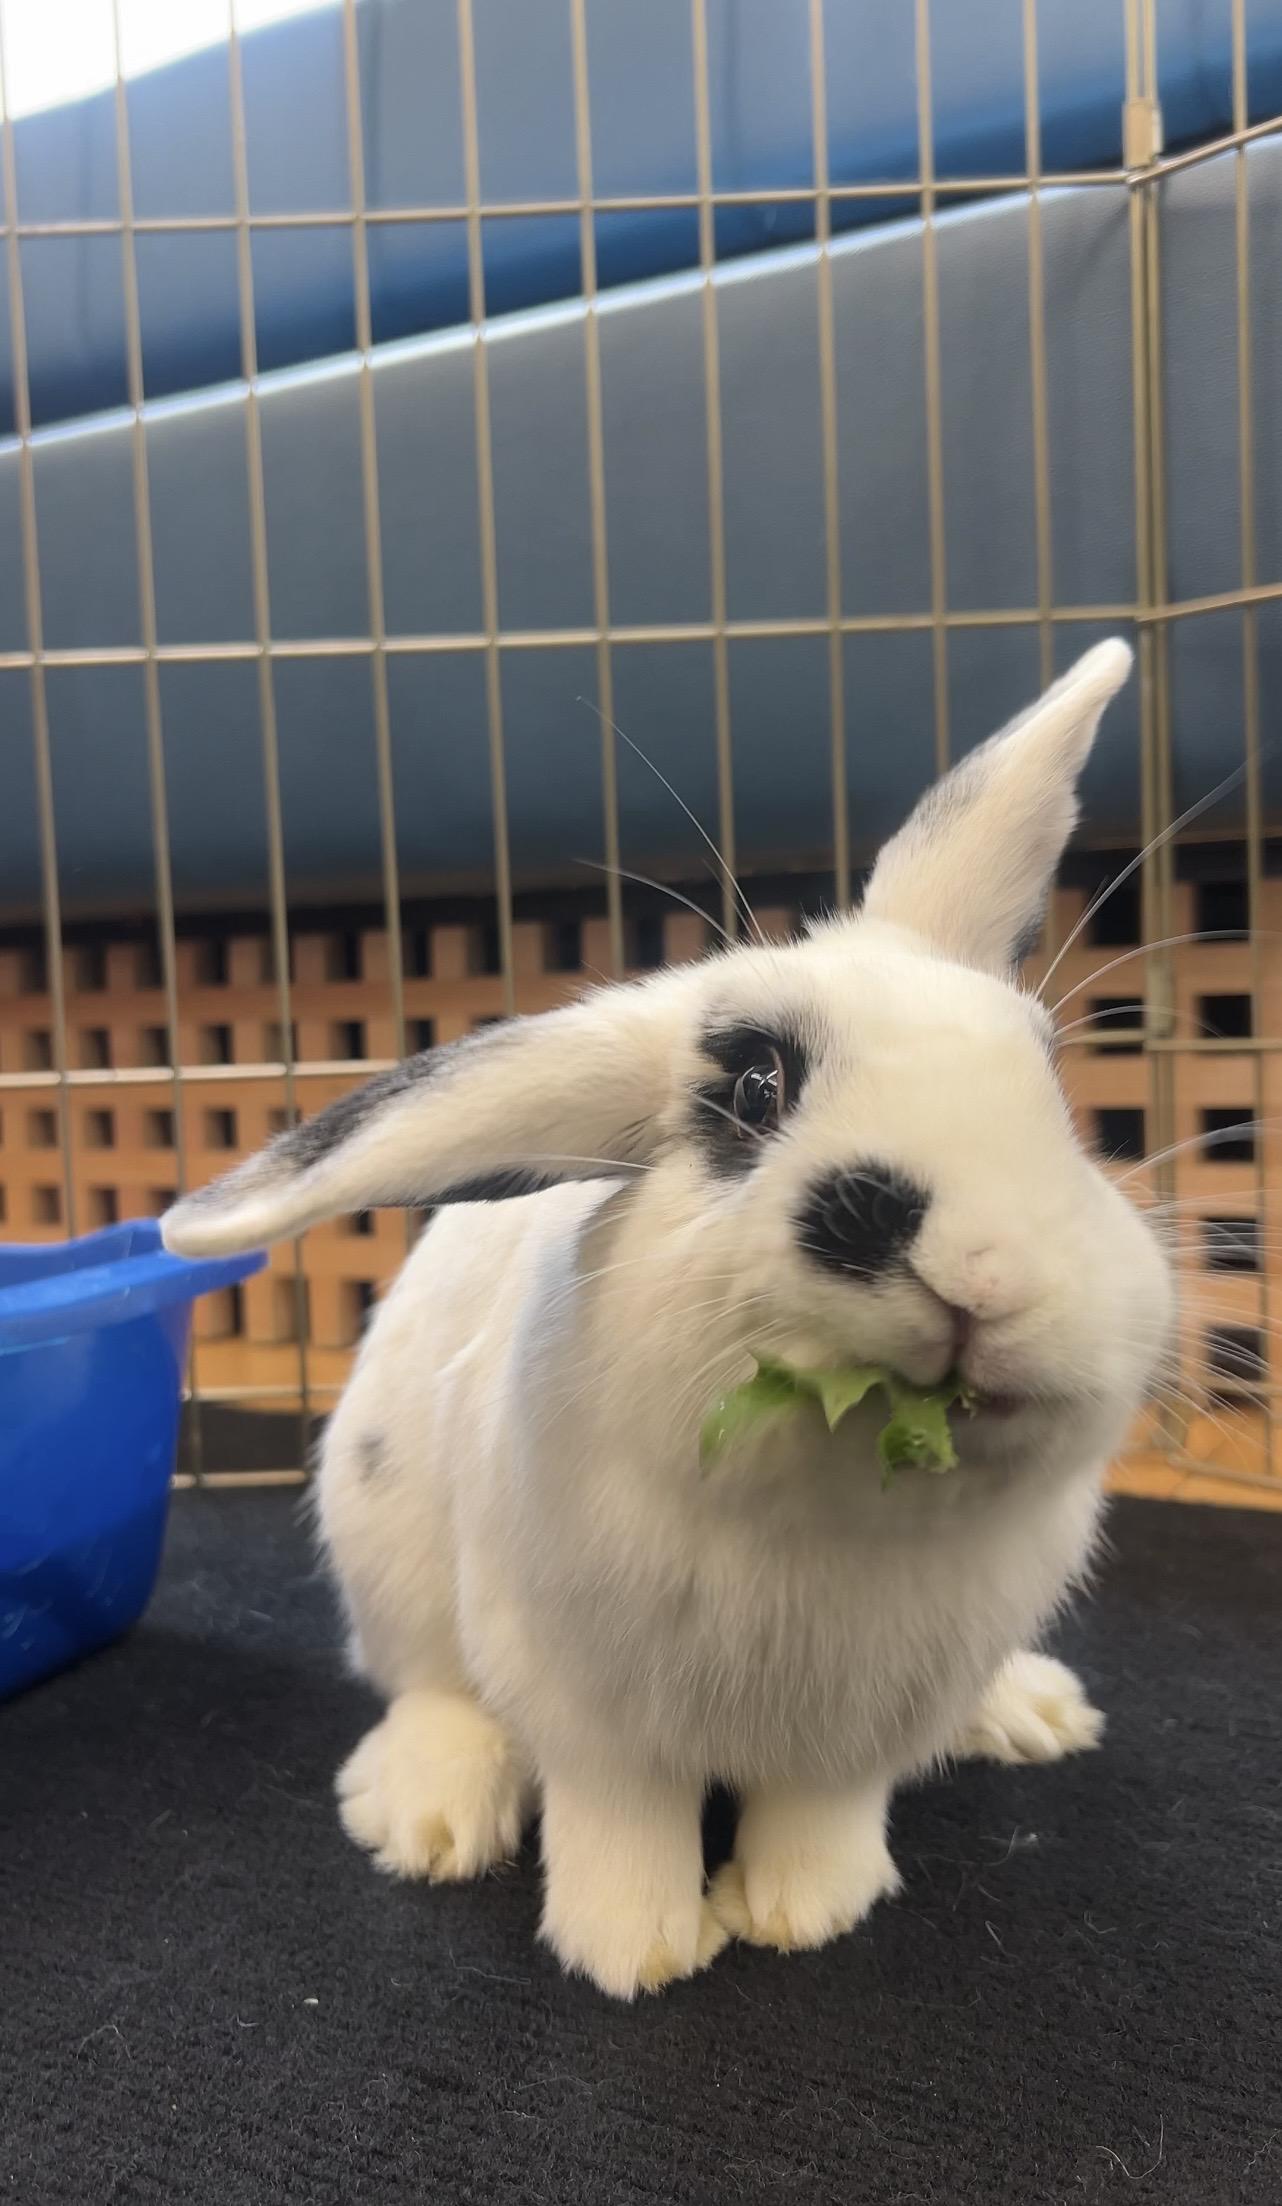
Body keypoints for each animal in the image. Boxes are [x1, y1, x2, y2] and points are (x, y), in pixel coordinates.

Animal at [163, 637, 1173, 1999]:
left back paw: (1031, 1713)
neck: (828, 1518)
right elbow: (619, 1819)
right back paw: (426, 1813)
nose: (986, 1275)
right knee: (425, 1684)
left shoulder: (861, 1728)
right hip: (382, 1540)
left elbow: (823, 1815)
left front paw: (805, 1911)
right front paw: (633, 1950)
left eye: (1048, 1081)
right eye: (753, 1086)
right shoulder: (586, 1699)